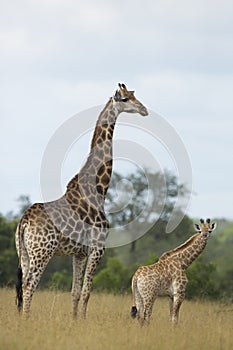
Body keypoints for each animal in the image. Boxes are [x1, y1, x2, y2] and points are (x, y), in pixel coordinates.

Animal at [15, 83, 147, 318]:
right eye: (124, 99)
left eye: (134, 95)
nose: (144, 109)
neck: (98, 190)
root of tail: (24, 221)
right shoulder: (98, 248)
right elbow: (86, 292)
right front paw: (83, 321)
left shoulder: (79, 253)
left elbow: (75, 292)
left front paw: (75, 320)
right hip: (42, 251)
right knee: (30, 286)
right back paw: (26, 320)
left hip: (24, 252)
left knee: (23, 286)